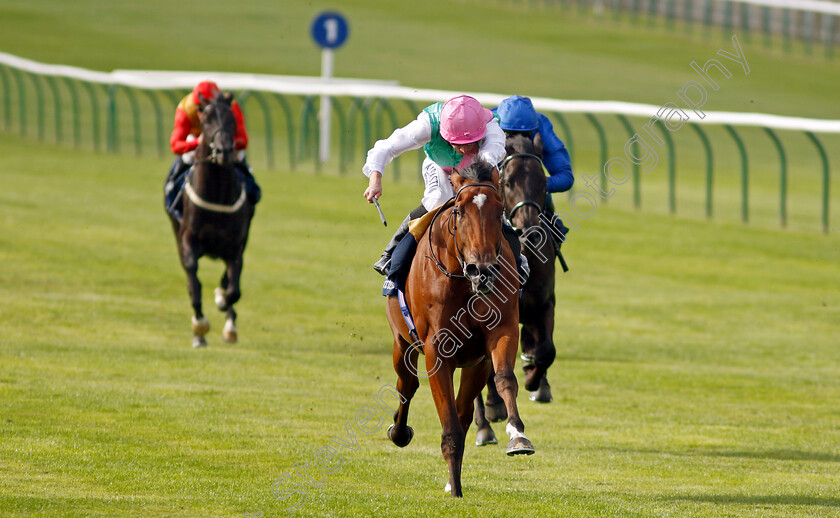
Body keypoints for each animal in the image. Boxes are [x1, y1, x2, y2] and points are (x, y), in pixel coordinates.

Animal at [166, 92, 254, 350]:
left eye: (232, 120)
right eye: (206, 121)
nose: (224, 151)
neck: (217, 194)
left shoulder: (236, 245)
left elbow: (233, 289)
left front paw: (223, 302)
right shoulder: (187, 240)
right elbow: (194, 283)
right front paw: (200, 325)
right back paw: (199, 334)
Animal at [386, 159, 536, 500]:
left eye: (499, 208)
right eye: (458, 210)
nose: (483, 269)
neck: (465, 283)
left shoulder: (500, 333)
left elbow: (505, 379)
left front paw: (517, 434)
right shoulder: (435, 350)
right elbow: (449, 423)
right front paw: (455, 489)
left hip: (474, 364)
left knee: (464, 409)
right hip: (402, 342)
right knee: (407, 385)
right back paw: (399, 431)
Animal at [472, 134, 556, 446]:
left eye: (543, 181)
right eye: (508, 182)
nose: (531, 232)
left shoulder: (543, 304)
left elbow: (546, 350)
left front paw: (533, 376)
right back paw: (485, 424)